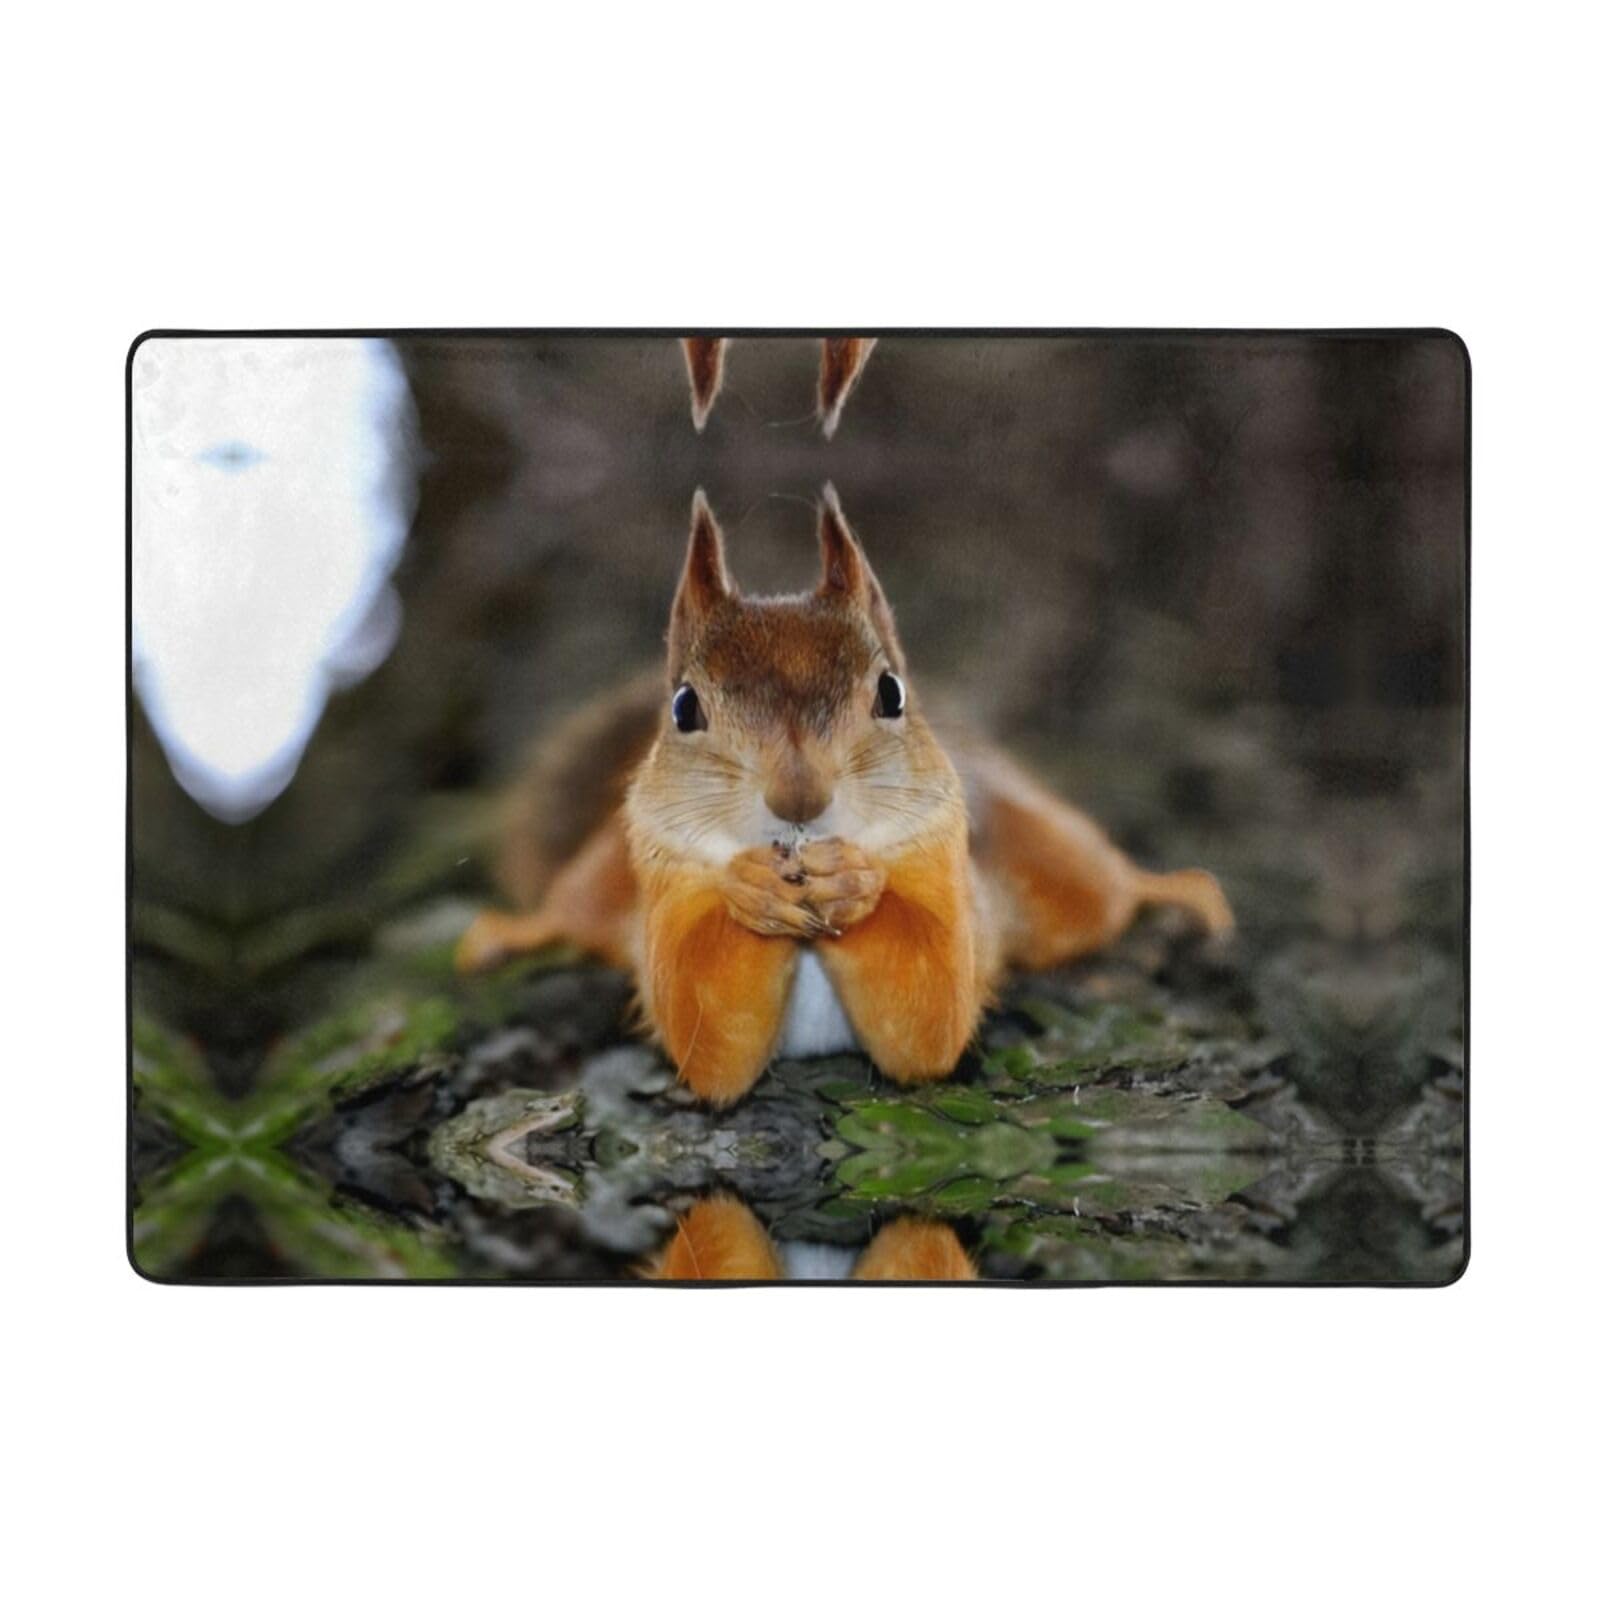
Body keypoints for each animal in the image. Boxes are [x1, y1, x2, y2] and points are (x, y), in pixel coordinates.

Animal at [457, 485, 1233, 1106]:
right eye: (683, 708)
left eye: (891, 693)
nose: (799, 797)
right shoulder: (666, 886)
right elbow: (708, 1036)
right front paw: (750, 889)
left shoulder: (947, 877)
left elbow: (930, 1013)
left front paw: (854, 882)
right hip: (603, 881)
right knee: (570, 910)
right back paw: (506, 934)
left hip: (1048, 863)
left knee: (1101, 889)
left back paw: (1176, 890)